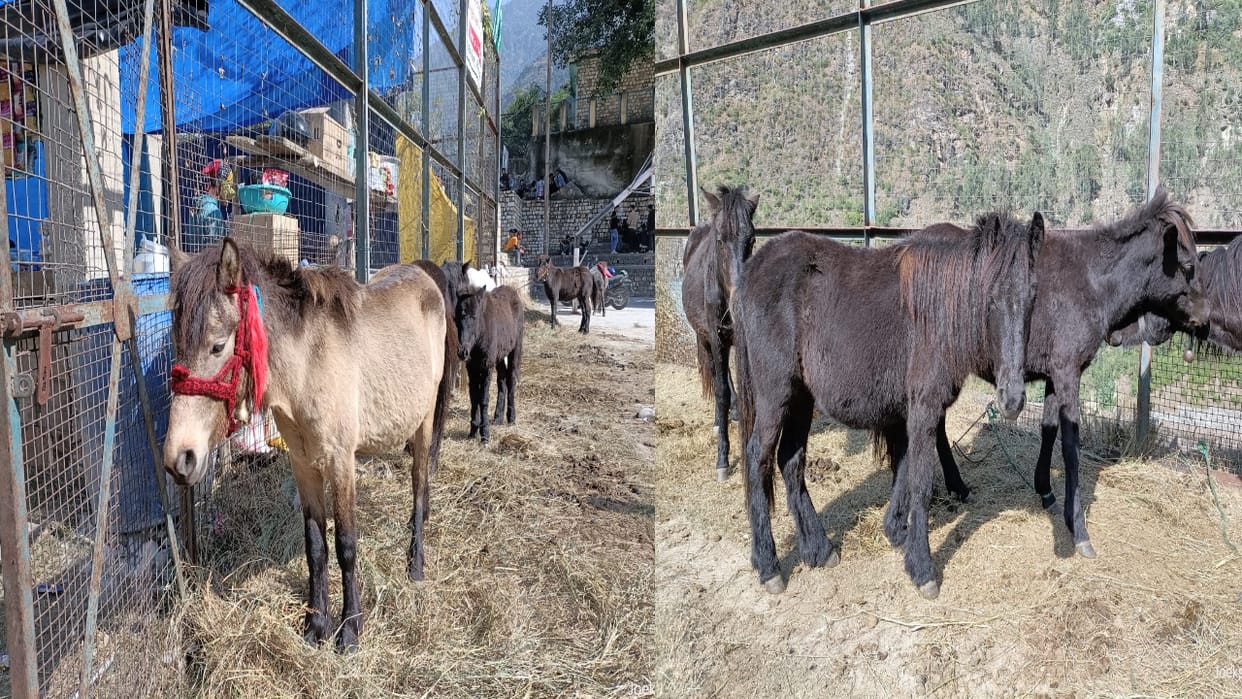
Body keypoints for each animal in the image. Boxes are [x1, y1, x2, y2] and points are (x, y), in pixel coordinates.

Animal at [163, 238, 453, 649]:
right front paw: (316, 624)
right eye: (177, 344)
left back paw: (415, 562)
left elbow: (346, 544)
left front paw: (350, 628)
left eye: (218, 346)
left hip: (424, 423)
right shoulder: (303, 466)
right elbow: (315, 547)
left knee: (419, 483)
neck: (308, 366)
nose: (180, 458)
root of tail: (422, 275)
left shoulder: (341, 462)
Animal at [456, 284, 524, 443]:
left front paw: (485, 435)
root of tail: (513, 291)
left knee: (511, 379)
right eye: (457, 317)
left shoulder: (486, 367)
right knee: (502, 380)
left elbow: (483, 399)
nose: (463, 352)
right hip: (499, 356)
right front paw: (473, 431)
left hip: (515, 349)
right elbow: (474, 397)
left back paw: (511, 418)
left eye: (474, 317)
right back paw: (498, 418)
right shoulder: (472, 368)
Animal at [681, 184, 758, 481]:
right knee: (716, 375)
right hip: (706, 337)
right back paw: (718, 421)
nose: (740, 301)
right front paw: (723, 460)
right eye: (720, 240)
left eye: (752, 240)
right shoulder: (716, 337)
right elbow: (721, 390)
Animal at [734, 211, 1045, 599]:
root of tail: (751, 269)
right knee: (757, 458)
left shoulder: (912, 411)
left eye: (1032, 298)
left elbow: (905, 466)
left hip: (801, 398)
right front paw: (922, 568)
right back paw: (769, 565)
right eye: (990, 299)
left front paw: (896, 530)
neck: (940, 311)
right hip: (775, 395)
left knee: (790, 460)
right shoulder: (925, 408)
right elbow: (921, 480)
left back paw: (818, 549)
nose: (1013, 399)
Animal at [927, 188, 1206, 563]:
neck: (1091, 281)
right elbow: (1071, 447)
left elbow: (1048, 430)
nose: (1204, 317)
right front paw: (1079, 531)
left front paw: (1045, 490)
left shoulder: (1055, 374)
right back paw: (954, 486)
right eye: (1187, 266)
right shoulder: (1068, 373)